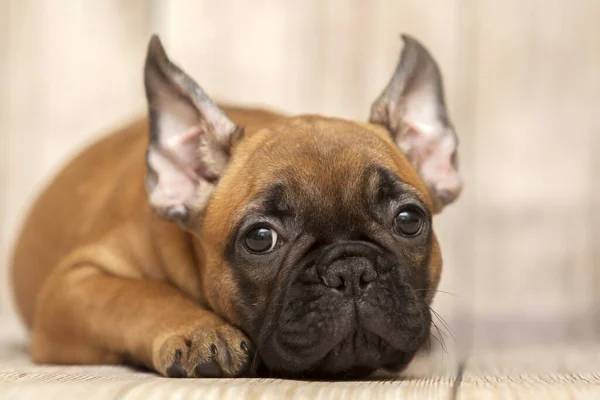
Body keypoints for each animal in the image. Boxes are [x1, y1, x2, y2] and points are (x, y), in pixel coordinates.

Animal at [9, 33, 462, 378]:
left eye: (409, 220)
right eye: (261, 239)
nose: (351, 270)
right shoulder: (73, 284)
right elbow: (139, 295)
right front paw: (201, 332)